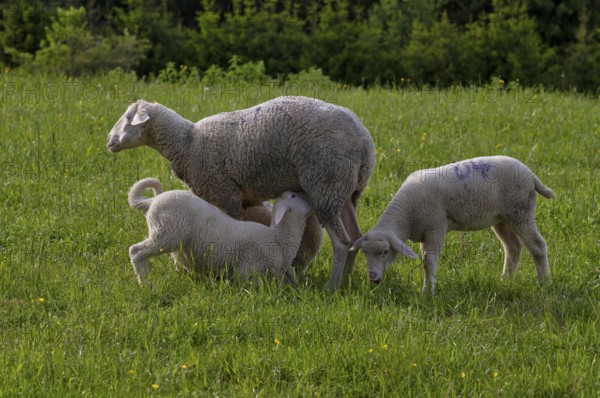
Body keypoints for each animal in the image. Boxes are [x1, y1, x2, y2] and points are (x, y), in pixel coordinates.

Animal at [126, 178, 314, 286]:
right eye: (293, 196)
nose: (310, 196)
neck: (278, 238)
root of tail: (153, 200)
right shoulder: (247, 271)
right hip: (165, 233)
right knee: (136, 251)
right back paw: (145, 282)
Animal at [352, 155, 552, 292]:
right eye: (365, 253)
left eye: (385, 252)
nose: (373, 277)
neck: (406, 215)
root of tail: (530, 174)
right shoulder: (425, 232)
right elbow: (425, 262)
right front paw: (427, 287)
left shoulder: (436, 227)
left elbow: (429, 261)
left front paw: (429, 292)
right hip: (501, 218)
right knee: (512, 247)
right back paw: (506, 280)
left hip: (520, 212)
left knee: (537, 246)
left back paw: (543, 281)